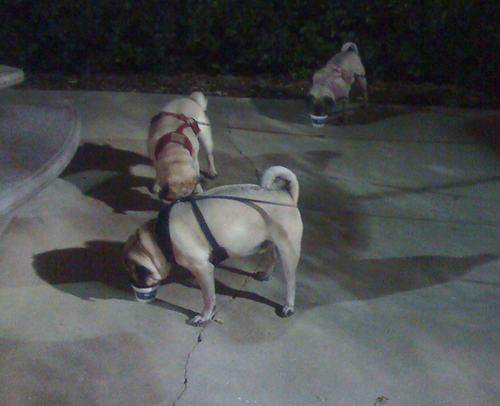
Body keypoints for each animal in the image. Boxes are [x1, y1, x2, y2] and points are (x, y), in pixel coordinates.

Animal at [123, 165, 302, 326]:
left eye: (134, 275)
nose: (132, 285)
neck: (158, 237)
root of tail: (288, 195)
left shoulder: (203, 268)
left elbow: (209, 298)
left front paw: (204, 317)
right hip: (269, 243)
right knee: (271, 258)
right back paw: (266, 275)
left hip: (288, 252)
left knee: (291, 282)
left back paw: (288, 306)